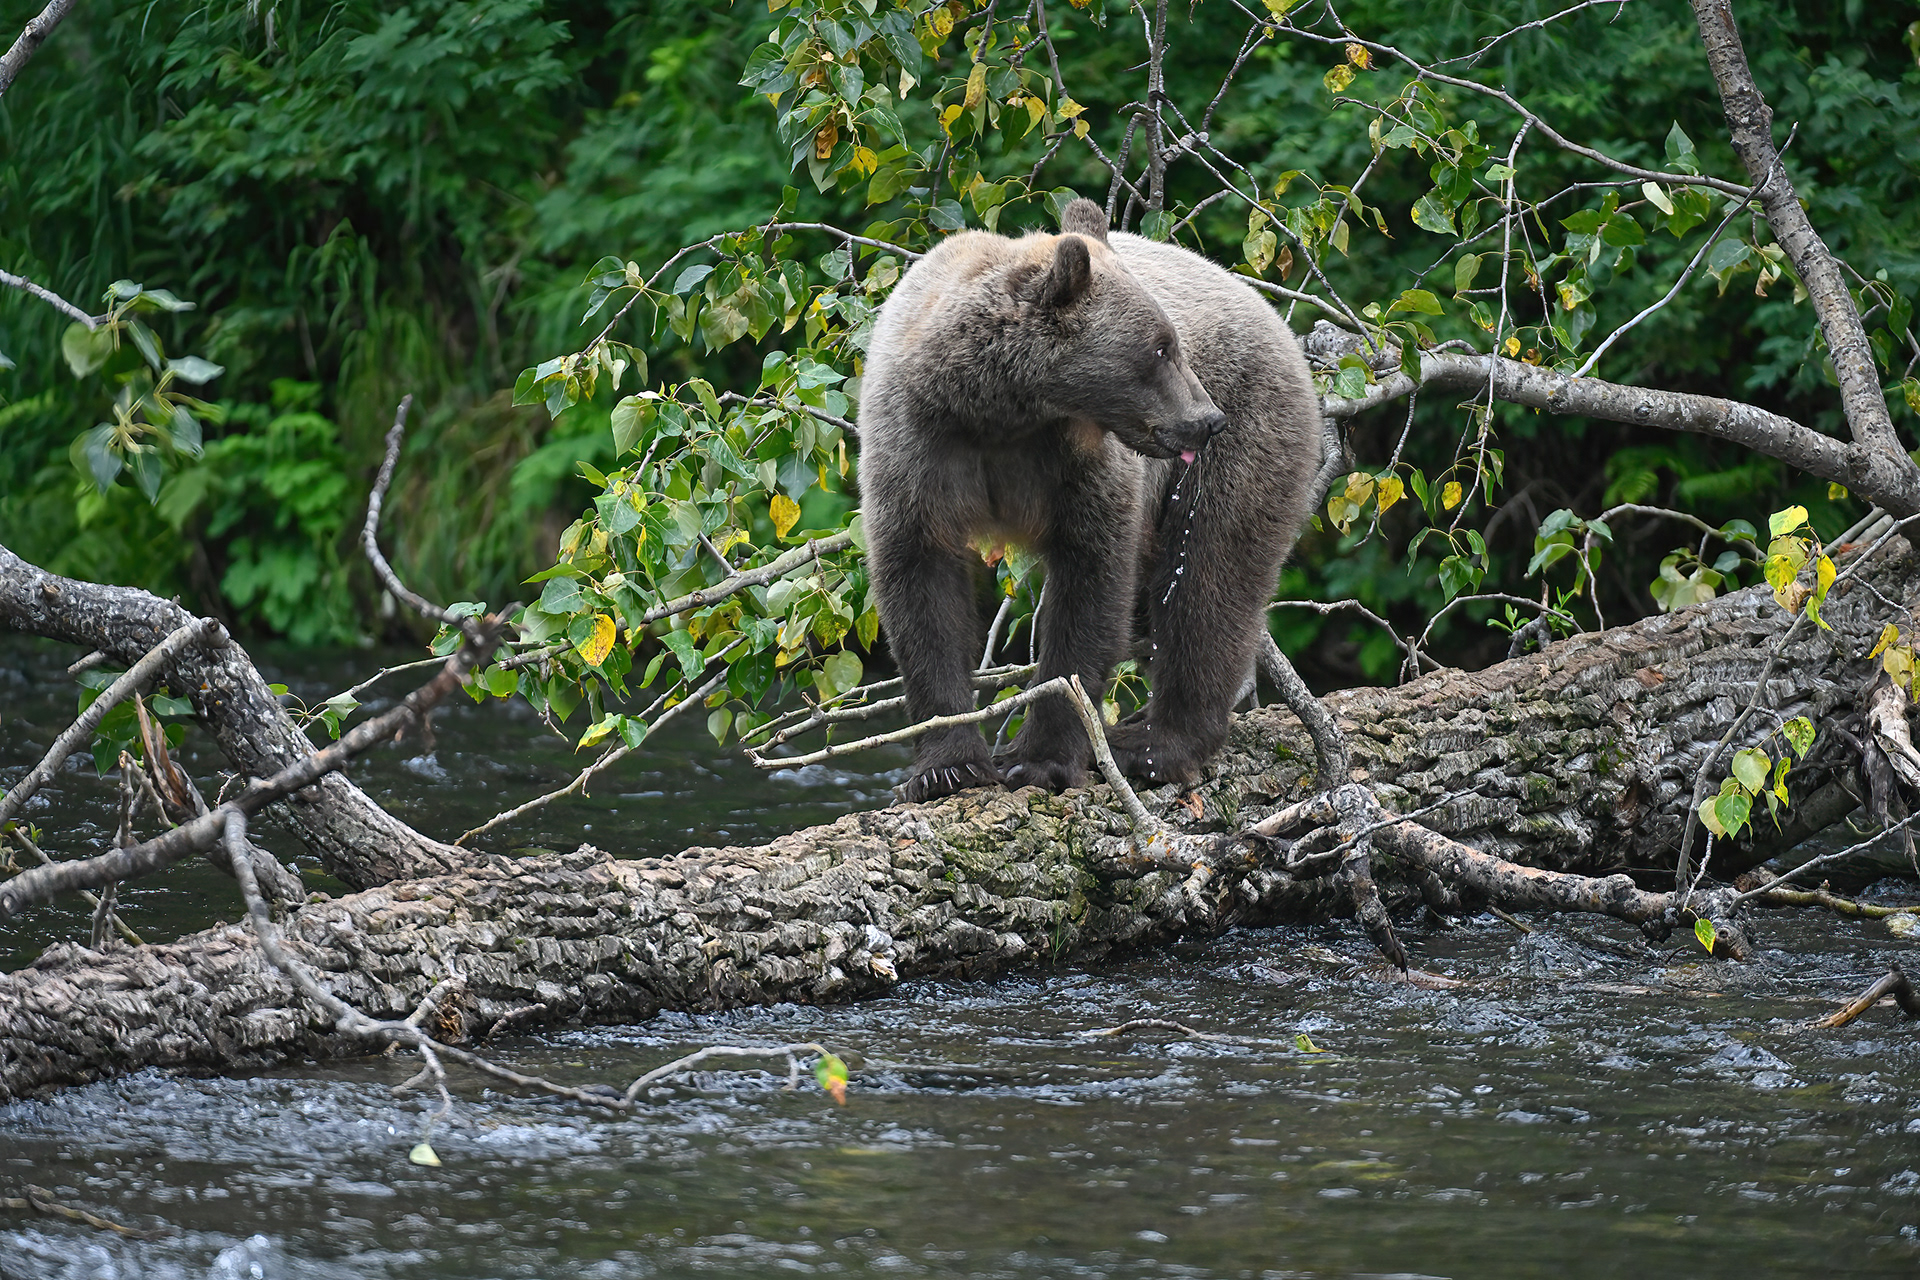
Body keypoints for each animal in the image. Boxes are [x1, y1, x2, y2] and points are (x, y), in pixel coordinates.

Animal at [856, 197, 1322, 803]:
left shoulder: (1080, 467)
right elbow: (921, 582)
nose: (1206, 420)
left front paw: (1040, 760)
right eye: (1160, 347)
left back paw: (1152, 744)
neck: (997, 411)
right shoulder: (918, 449)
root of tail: (1271, 313)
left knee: (1209, 578)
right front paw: (946, 767)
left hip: (1248, 435)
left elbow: (1090, 584)